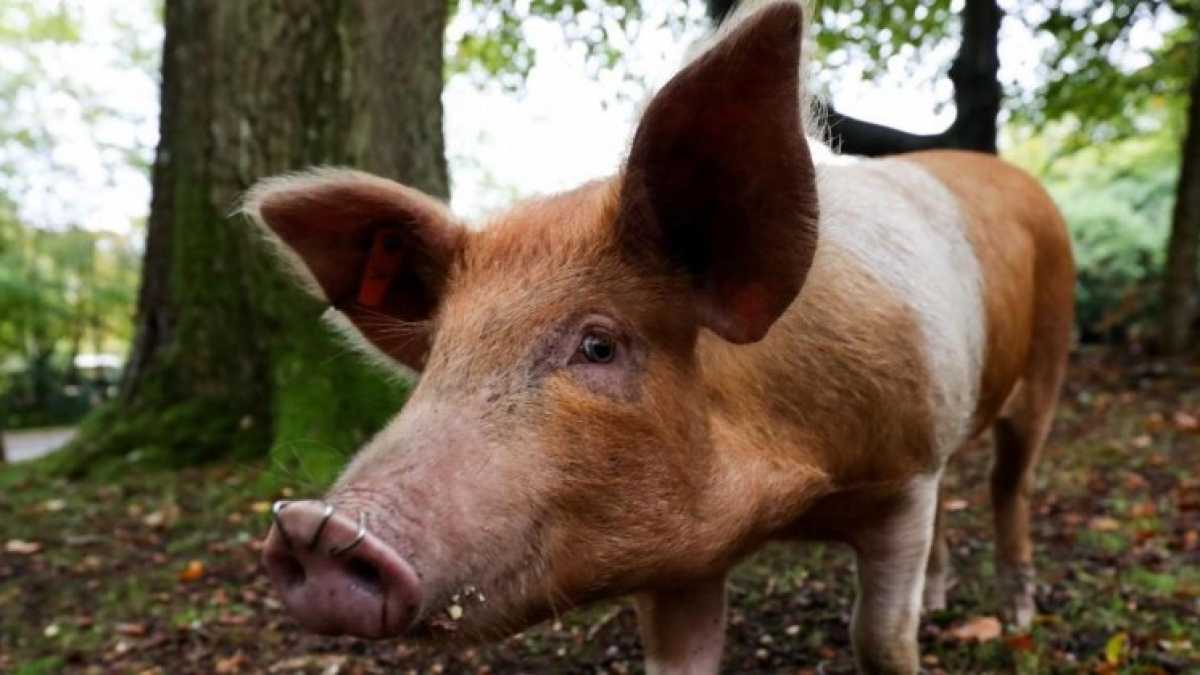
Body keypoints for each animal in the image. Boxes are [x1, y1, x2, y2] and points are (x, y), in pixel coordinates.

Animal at [248, 1, 1074, 673]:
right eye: (440, 356)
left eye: (599, 345)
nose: (315, 526)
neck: (787, 495)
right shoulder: (673, 554)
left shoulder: (904, 472)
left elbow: (880, 640)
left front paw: (910, 637)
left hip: (1047, 359)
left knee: (1009, 486)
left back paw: (1015, 616)